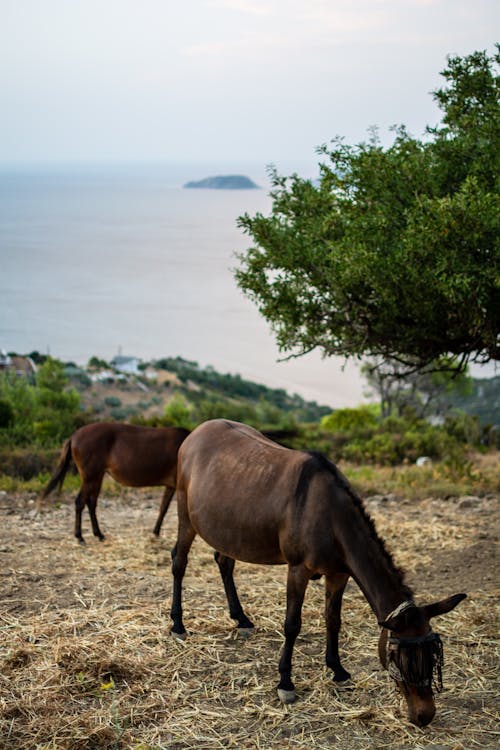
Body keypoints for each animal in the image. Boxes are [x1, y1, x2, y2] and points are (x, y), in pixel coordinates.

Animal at [40, 424, 189, 540]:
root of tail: (74, 436)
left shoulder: (171, 485)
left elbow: (163, 507)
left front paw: (156, 532)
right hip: (90, 477)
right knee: (80, 502)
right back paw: (80, 536)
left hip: (97, 477)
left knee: (91, 502)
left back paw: (98, 534)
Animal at [170, 420, 466, 724]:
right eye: (400, 657)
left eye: (433, 657)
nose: (425, 715)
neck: (330, 515)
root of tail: (197, 432)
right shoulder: (298, 570)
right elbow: (292, 624)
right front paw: (285, 682)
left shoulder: (338, 574)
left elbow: (333, 619)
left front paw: (337, 669)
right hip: (185, 512)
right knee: (179, 562)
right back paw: (178, 624)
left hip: (227, 529)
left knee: (224, 562)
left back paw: (240, 619)